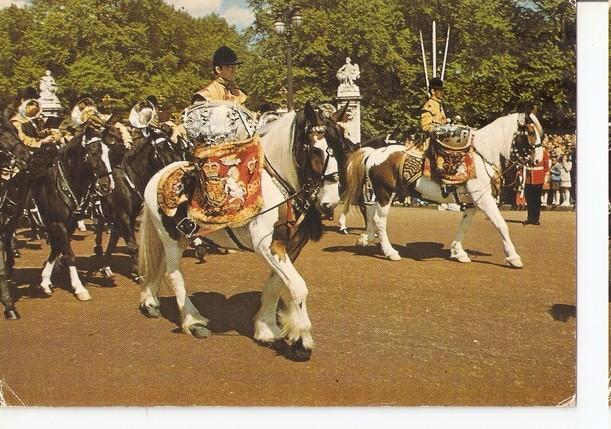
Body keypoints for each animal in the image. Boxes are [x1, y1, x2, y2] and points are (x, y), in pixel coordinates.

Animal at [32, 123, 117, 300]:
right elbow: (68, 254)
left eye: (108, 152)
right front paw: (79, 288)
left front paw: (45, 281)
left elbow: (57, 248)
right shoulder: (57, 223)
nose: (107, 185)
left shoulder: (68, 223)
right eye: (94, 152)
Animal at [93, 124, 179, 280]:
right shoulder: (123, 216)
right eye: (162, 148)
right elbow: (132, 245)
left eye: (173, 147)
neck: (128, 180)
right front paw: (138, 274)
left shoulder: (128, 217)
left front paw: (106, 267)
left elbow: (115, 242)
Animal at [137, 102, 350, 360]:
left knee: (158, 265)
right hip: (171, 239)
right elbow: (298, 287)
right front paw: (301, 340)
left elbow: (275, 285)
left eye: (340, 147)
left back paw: (150, 302)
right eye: (316, 150)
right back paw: (193, 321)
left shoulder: (290, 247)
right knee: (174, 274)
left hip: (178, 237)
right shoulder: (266, 245)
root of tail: (156, 176)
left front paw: (267, 330)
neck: (277, 189)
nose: (330, 203)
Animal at [344, 110, 544, 266]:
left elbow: (464, 226)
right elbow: (501, 224)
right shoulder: (484, 199)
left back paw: (366, 238)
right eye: (530, 132)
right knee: (379, 219)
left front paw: (458, 252)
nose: (538, 161)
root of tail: (374, 152)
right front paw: (513, 257)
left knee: (370, 213)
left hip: (381, 194)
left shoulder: (472, 202)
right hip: (385, 193)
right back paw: (390, 252)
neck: (481, 156)